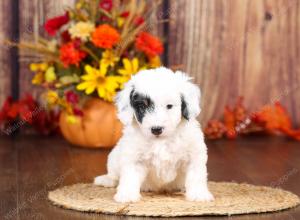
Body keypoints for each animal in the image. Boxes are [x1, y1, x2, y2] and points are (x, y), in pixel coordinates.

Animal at [94, 67, 213, 203]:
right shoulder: (134, 157)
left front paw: (199, 194)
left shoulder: (194, 154)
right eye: (142, 106)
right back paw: (107, 179)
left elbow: (196, 175)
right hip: (114, 155)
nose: (156, 129)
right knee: (113, 172)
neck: (161, 140)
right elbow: (129, 176)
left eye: (169, 106)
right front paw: (127, 195)